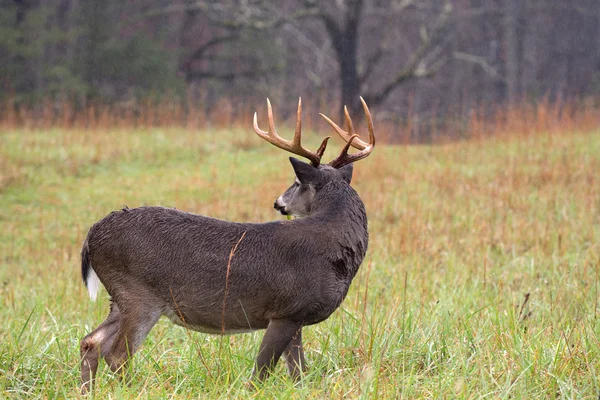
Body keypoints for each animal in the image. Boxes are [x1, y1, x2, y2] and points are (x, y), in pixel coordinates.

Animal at [79, 97, 376, 394]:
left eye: (295, 183)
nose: (278, 202)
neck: (332, 249)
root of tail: (92, 235)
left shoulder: (297, 317)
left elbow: (299, 375)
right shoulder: (286, 310)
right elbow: (261, 372)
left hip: (119, 297)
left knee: (91, 342)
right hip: (138, 294)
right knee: (117, 354)